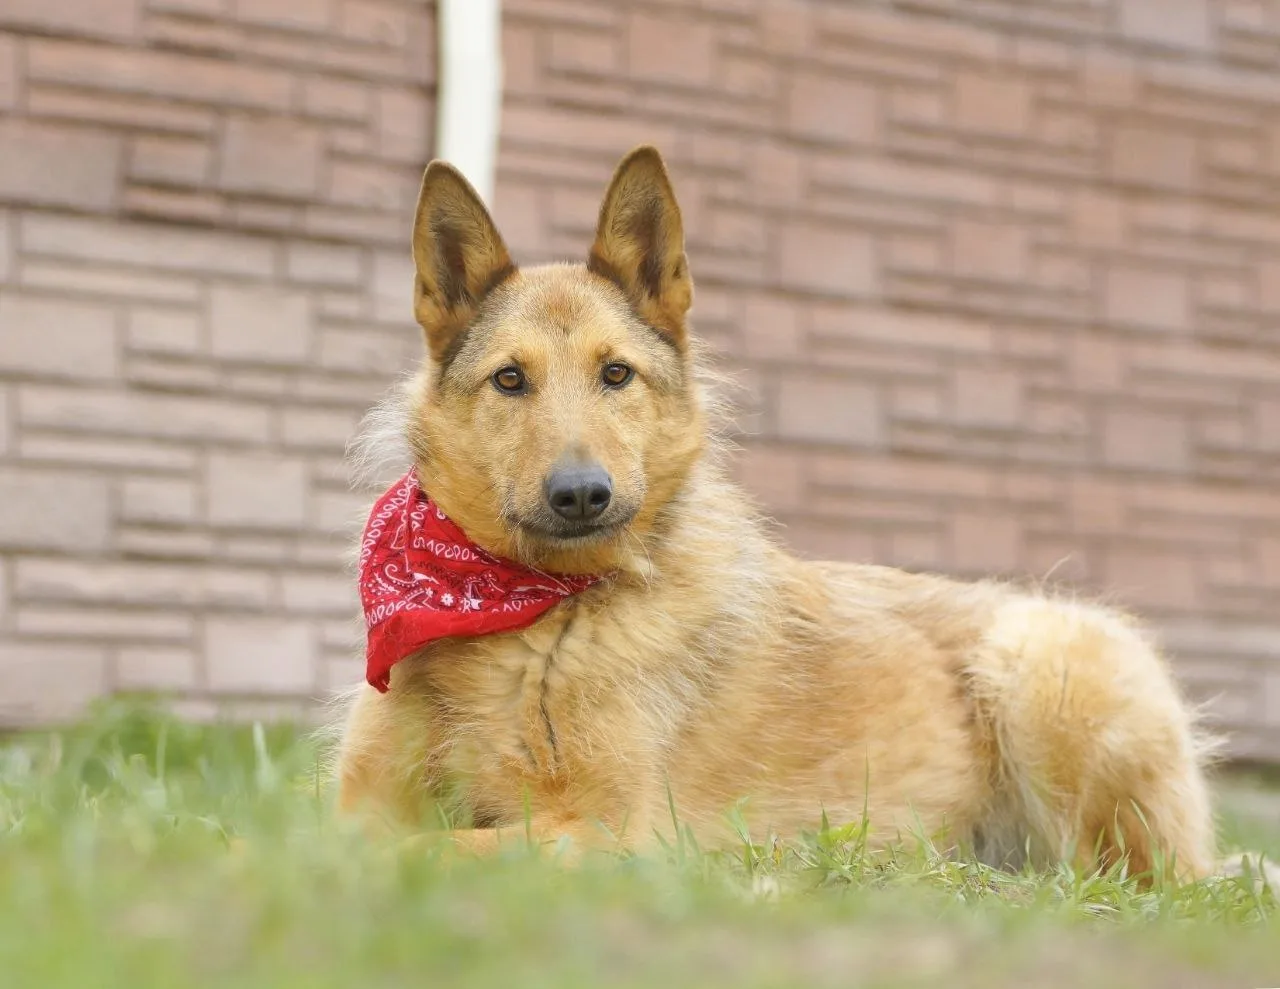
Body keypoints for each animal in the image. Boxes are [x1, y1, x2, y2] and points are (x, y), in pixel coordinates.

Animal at [330, 144, 1217, 882]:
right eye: (510, 380)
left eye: (616, 374)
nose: (581, 493)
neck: (517, 609)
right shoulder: (361, 798)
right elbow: (332, 834)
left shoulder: (611, 830)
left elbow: (425, 845)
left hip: (1041, 663)